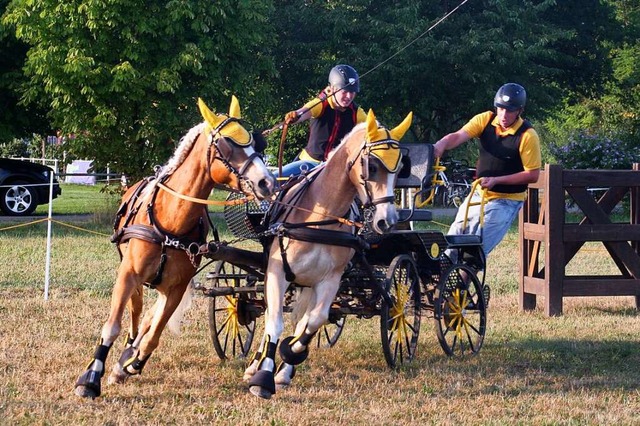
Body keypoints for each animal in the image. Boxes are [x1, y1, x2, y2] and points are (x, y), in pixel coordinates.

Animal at [74, 95, 276, 398]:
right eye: (227, 145)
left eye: (256, 143)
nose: (267, 182)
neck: (170, 221)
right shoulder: (128, 274)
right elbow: (113, 326)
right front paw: (90, 378)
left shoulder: (177, 287)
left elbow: (155, 333)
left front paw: (133, 364)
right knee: (136, 311)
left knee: (149, 317)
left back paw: (128, 358)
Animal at [242, 108, 412, 398]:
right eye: (372, 166)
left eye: (400, 168)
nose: (387, 221)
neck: (320, 217)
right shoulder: (277, 271)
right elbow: (274, 321)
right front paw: (262, 375)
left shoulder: (330, 279)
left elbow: (314, 321)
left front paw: (289, 357)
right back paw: (256, 363)